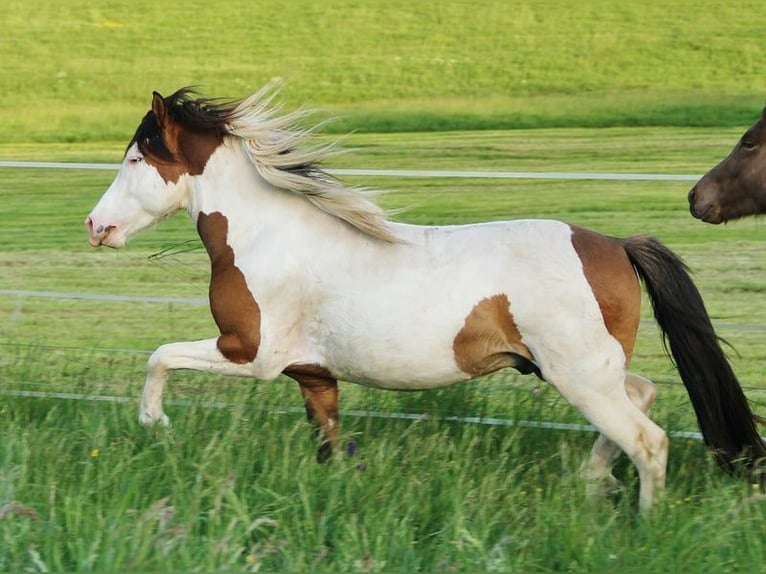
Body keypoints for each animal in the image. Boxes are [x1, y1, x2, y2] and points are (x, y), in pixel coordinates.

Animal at [85, 85, 765, 511]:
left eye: (136, 157)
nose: (96, 226)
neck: (264, 235)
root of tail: (618, 245)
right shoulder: (314, 375)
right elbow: (329, 443)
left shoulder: (250, 354)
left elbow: (160, 355)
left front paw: (156, 423)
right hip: (584, 371)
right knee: (642, 398)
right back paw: (591, 484)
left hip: (580, 376)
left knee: (649, 441)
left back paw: (639, 523)